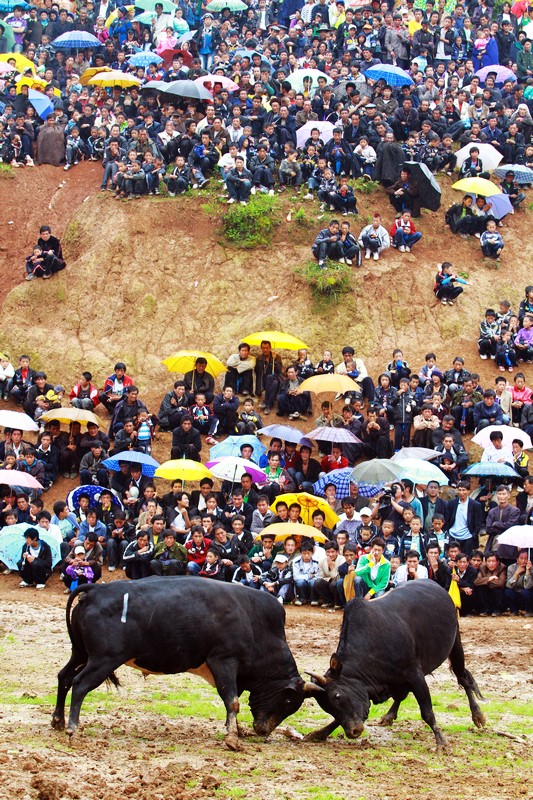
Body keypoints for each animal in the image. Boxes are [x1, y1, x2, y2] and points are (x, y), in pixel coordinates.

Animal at [52, 580, 318, 748]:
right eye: (288, 701)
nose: (263, 730)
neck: (257, 626)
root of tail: (96, 589)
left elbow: (232, 699)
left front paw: (236, 730)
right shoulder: (223, 660)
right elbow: (232, 699)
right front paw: (232, 738)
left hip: (81, 654)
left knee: (64, 677)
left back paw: (58, 721)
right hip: (103, 660)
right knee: (80, 684)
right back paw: (73, 729)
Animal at [304, 580, 486, 748]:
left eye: (337, 696)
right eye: (327, 706)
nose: (353, 732)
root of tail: (435, 585)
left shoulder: (415, 675)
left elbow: (427, 712)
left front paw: (441, 741)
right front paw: (319, 733)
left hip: (456, 644)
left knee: (463, 678)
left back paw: (477, 714)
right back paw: (389, 716)